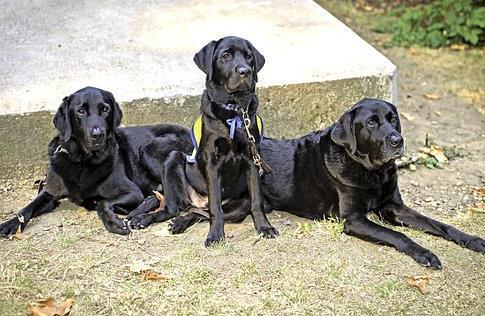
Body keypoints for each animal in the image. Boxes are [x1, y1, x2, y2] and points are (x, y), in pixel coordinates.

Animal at [0, 87, 193, 237]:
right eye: (80, 111)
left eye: (105, 109)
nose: (97, 135)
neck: (82, 161)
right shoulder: (49, 193)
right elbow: (26, 209)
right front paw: (9, 224)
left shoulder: (132, 191)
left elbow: (102, 203)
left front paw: (113, 222)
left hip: (148, 150)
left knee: (174, 206)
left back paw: (143, 216)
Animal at [126, 37, 278, 247]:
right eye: (225, 56)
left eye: (249, 57)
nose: (245, 71)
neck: (233, 111)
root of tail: (199, 200)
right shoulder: (212, 162)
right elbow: (215, 207)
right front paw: (215, 236)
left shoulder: (252, 159)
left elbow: (257, 200)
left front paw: (264, 227)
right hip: (173, 160)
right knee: (177, 208)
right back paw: (146, 218)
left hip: (239, 204)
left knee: (198, 213)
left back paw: (180, 222)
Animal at [167, 98, 484, 266]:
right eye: (371, 123)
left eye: (393, 119)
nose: (397, 140)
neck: (372, 171)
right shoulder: (354, 219)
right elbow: (400, 236)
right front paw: (425, 253)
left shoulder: (394, 207)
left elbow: (439, 225)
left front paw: (472, 239)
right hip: (242, 205)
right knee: (206, 210)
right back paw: (179, 222)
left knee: (203, 210)